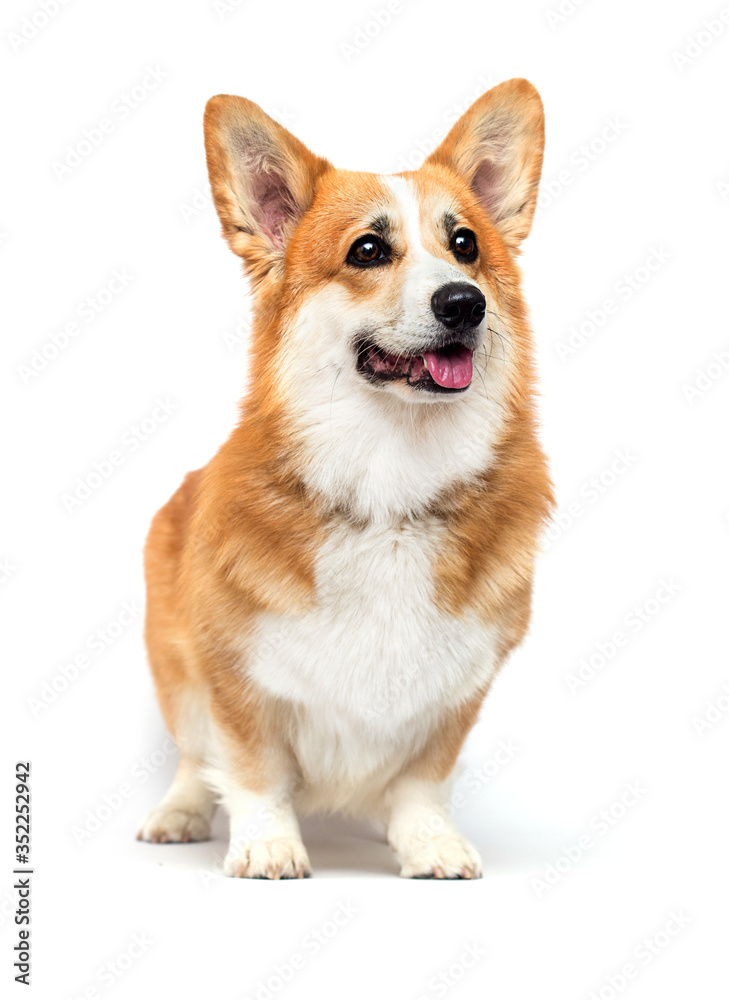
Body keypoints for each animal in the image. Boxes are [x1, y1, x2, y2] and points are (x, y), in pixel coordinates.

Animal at [136, 80, 552, 876]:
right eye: (367, 250)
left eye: (465, 245)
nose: (465, 301)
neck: (390, 486)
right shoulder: (234, 675)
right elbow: (251, 769)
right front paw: (267, 845)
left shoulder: (458, 692)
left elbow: (423, 779)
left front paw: (428, 842)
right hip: (175, 669)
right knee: (194, 757)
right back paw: (178, 813)